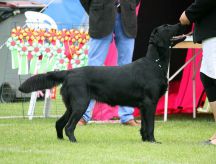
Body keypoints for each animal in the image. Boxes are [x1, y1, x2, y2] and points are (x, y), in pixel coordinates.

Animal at [19, 23, 186, 143]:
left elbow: (144, 126)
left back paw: (61, 140)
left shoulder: (144, 105)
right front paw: (153, 141)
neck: (155, 63)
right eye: (167, 26)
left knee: (59, 123)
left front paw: (145, 140)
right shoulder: (150, 102)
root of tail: (70, 72)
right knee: (69, 126)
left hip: (71, 105)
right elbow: (150, 126)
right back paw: (73, 141)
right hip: (80, 103)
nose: (180, 22)